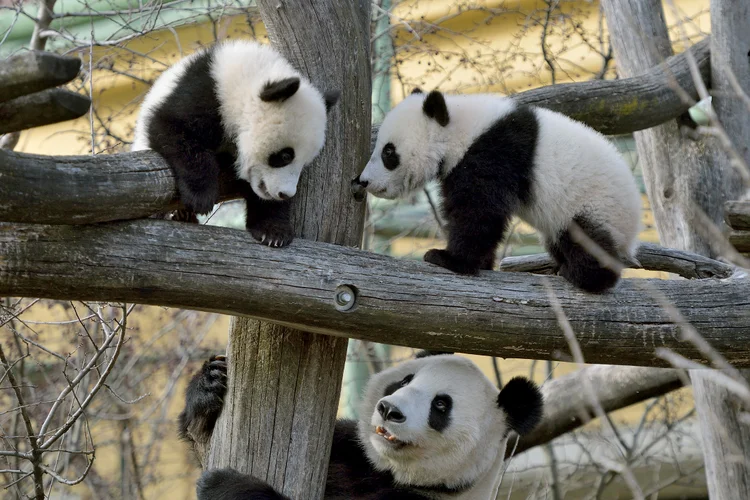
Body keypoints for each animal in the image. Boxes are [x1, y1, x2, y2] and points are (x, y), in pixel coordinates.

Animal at [131, 40, 338, 247]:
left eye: (304, 163)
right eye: (286, 156)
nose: (285, 194)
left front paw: (273, 231)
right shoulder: (204, 93)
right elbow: (173, 130)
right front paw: (200, 196)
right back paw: (178, 214)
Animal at [181, 352, 548, 500]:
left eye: (441, 405)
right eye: (404, 381)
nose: (388, 410)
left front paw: (225, 486)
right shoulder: (352, 451)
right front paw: (209, 388)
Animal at [352, 90, 640, 292]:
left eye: (388, 152)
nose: (363, 181)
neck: (460, 127)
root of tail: (633, 232)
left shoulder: (493, 152)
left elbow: (479, 211)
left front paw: (449, 259)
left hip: (595, 204)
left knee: (587, 239)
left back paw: (585, 276)